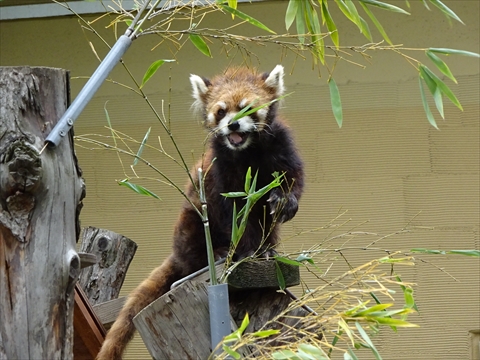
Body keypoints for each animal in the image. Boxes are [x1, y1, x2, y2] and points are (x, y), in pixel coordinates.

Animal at [96, 65, 304, 360]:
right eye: (221, 111)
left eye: (246, 108)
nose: (233, 125)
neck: (248, 151)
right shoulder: (221, 173)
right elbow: (236, 215)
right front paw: (248, 251)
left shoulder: (281, 147)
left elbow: (291, 179)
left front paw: (285, 202)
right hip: (190, 225)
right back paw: (218, 253)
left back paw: (268, 250)